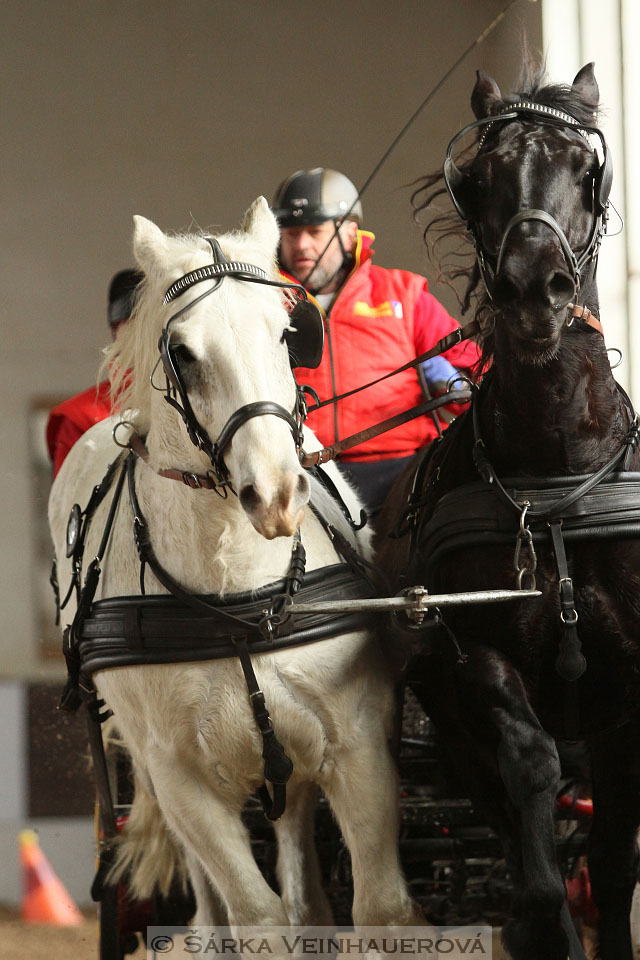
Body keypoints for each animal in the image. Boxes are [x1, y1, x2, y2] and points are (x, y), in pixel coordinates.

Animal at [50, 201, 420, 928]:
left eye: (286, 335)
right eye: (183, 353)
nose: (276, 493)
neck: (238, 599)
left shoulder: (358, 744)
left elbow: (379, 907)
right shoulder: (182, 780)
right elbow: (256, 917)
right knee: (214, 909)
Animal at [378, 62, 640, 960]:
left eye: (585, 168)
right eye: (478, 175)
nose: (532, 287)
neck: (558, 481)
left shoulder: (629, 692)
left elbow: (616, 859)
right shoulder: (476, 655)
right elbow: (528, 766)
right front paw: (541, 913)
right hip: (449, 728)